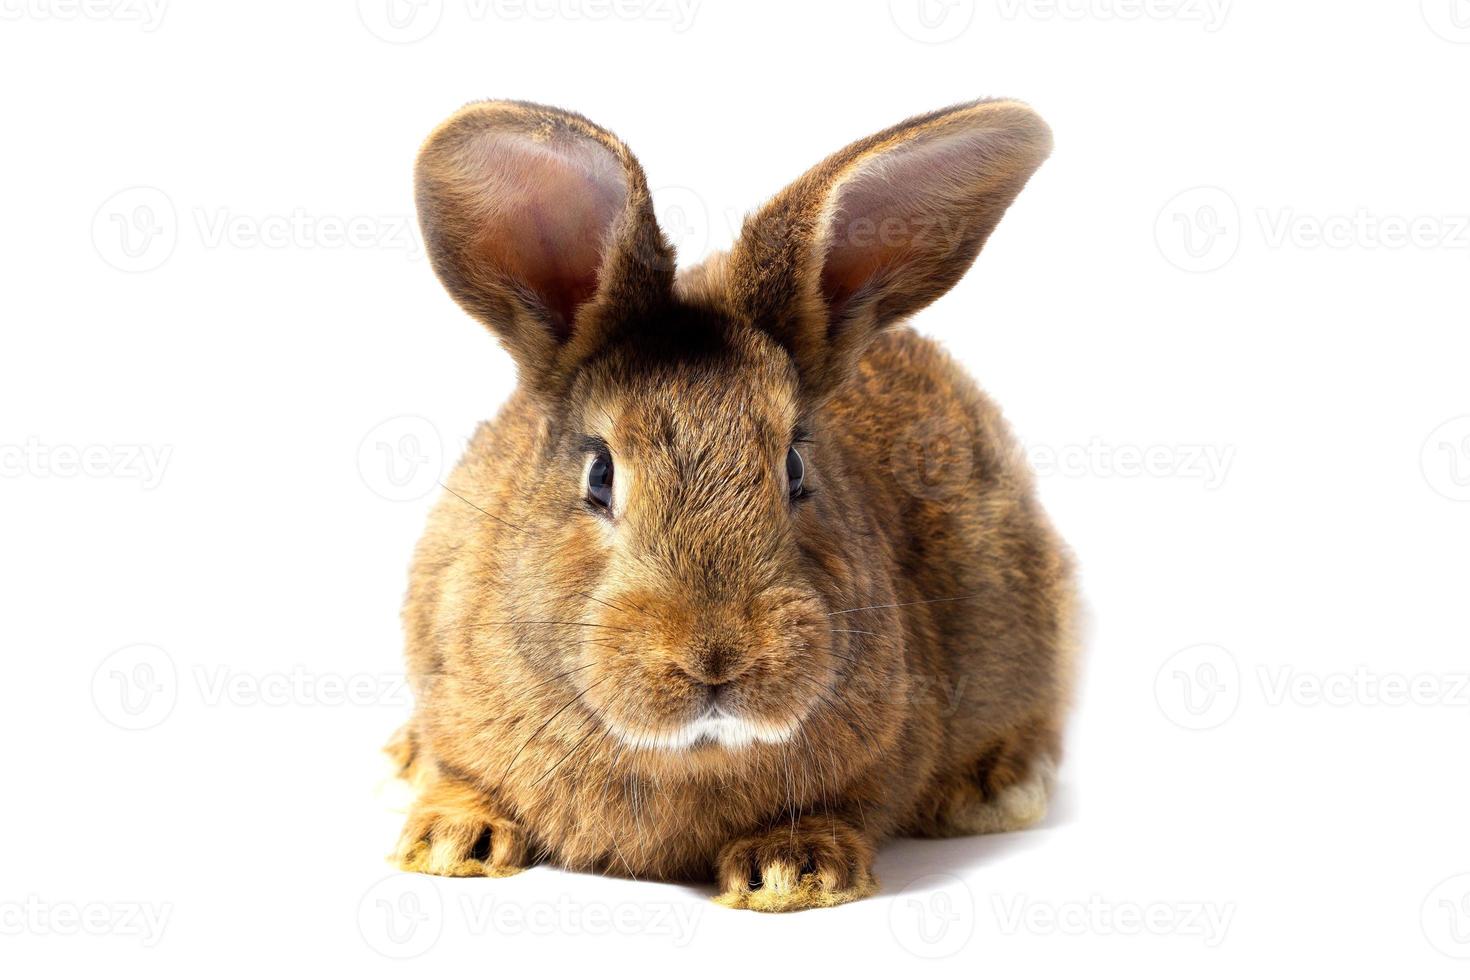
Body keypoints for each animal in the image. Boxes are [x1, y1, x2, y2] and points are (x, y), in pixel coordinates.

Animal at [388, 97, 1081, 910]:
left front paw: (790, 870)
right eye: (600, 474)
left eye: (796, 464)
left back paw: (996, 790)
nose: (716, 657)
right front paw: (449, 839)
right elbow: (459, 771)